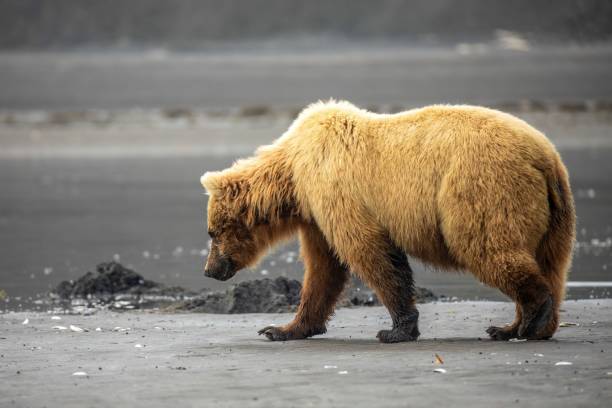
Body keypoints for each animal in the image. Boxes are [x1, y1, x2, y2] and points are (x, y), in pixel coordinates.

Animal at [201, 100, 572, 342]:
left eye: (211, 232)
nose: (209, 270)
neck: (293, 175)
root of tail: (546, 157)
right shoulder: (316, 215)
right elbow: (323, 270)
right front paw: (282, 329)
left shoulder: (336, 189)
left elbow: (371, 253)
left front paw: (396, 329)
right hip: (555, 215)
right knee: (551, 263)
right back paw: (518, 327)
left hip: (484, 188)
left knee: (488, 247)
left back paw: (530, 317)